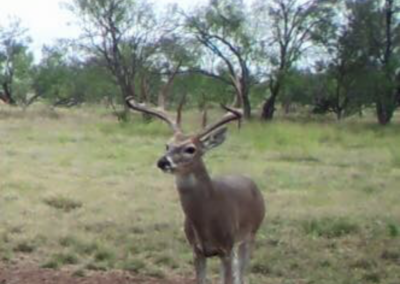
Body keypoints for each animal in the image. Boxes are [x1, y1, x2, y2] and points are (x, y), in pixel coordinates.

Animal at [126, 96, 266, 284]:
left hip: (251, 233)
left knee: (242, 273)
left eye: (190, 149)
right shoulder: (196, 250)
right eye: (167, 145)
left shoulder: (226, 247)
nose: (163, 161)